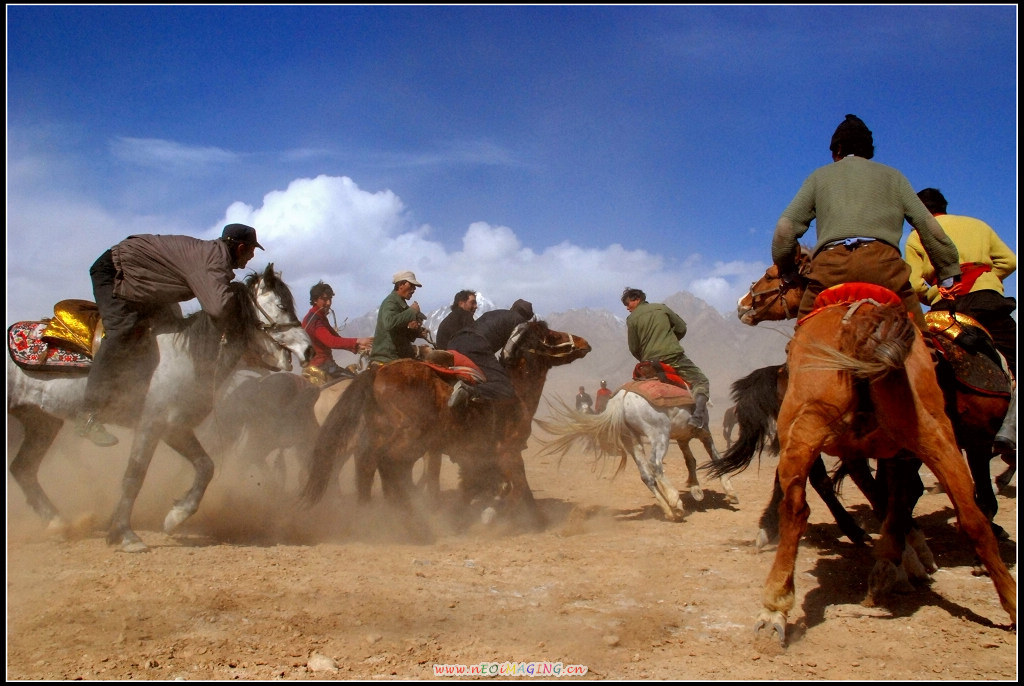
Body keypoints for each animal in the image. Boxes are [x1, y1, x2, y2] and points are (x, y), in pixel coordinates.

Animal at [8, 266, 311, 556]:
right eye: (281, 304)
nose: (308, 349)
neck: (187, 355)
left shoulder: (174, 427)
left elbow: (205, 467)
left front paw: (176, 516)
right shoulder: (151, 424)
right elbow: (134, 477)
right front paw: (124, 535)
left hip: (42, 422)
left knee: (23, 469)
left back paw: (58, 524)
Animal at [299, 323, 589, 536]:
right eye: (552, 336)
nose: (584, 343)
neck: (516, 391)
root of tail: (375, 373)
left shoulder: (477, 458)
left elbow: (476, 488)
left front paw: (463, 518)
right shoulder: (507, 452)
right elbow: (520, 489)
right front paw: (516, 521)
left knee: (369, 464)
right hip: (409, 438)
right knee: (387, 465)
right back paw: (409, 523)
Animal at [532, 387, 741, 522]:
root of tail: (621, 399)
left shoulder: (683, 437)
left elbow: (690, 460)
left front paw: (696, 489)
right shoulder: (703, 432)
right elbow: (715, 457)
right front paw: (730, 492)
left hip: (631, 440)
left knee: (646, 475)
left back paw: (669, 511)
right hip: (659, 435)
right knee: (655, 464)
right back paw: (675, 500)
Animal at [733, 253, 1011, 647]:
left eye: (771, 274)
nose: (743, 304)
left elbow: (895, 499)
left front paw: (904, 558)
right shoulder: (942, 446)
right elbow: (897, 499)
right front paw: (908, 559)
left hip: (824, 432)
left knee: (801, 503)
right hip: (922, 437)